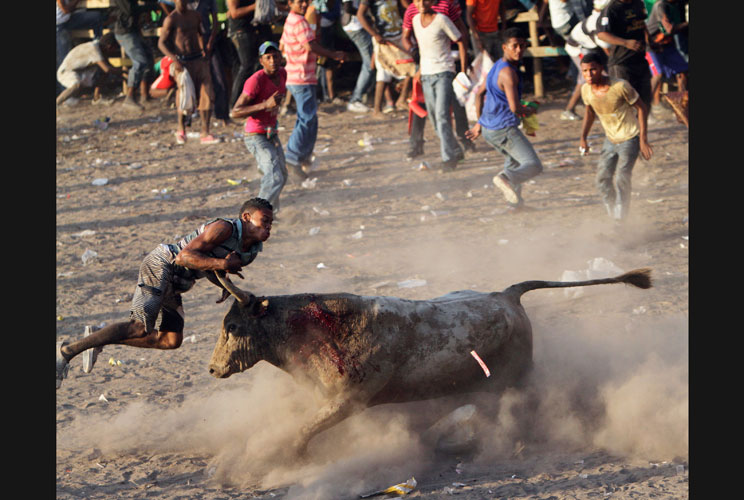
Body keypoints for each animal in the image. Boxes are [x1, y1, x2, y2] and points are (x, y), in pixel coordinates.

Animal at [208, 268, 652, 456]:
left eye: (233, 326)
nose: (212, 369)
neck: (314, 328)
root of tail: (507, 295)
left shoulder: (350, 400)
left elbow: (304, 429)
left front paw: (290, 455)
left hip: (517, 377)